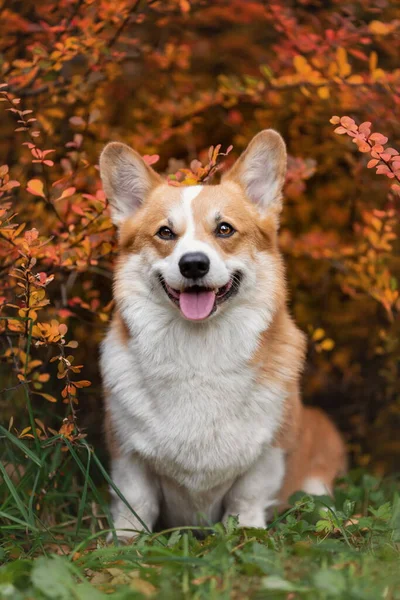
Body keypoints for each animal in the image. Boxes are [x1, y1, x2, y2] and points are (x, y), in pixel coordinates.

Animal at [98, 131, 346, 540]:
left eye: (224, 229)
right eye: (165, 233)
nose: (194, 264)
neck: (200, 349)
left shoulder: (269, 451)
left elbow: (247, 497)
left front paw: (247, 533)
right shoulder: (127, 453)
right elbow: (135, 502)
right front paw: (124, 541)